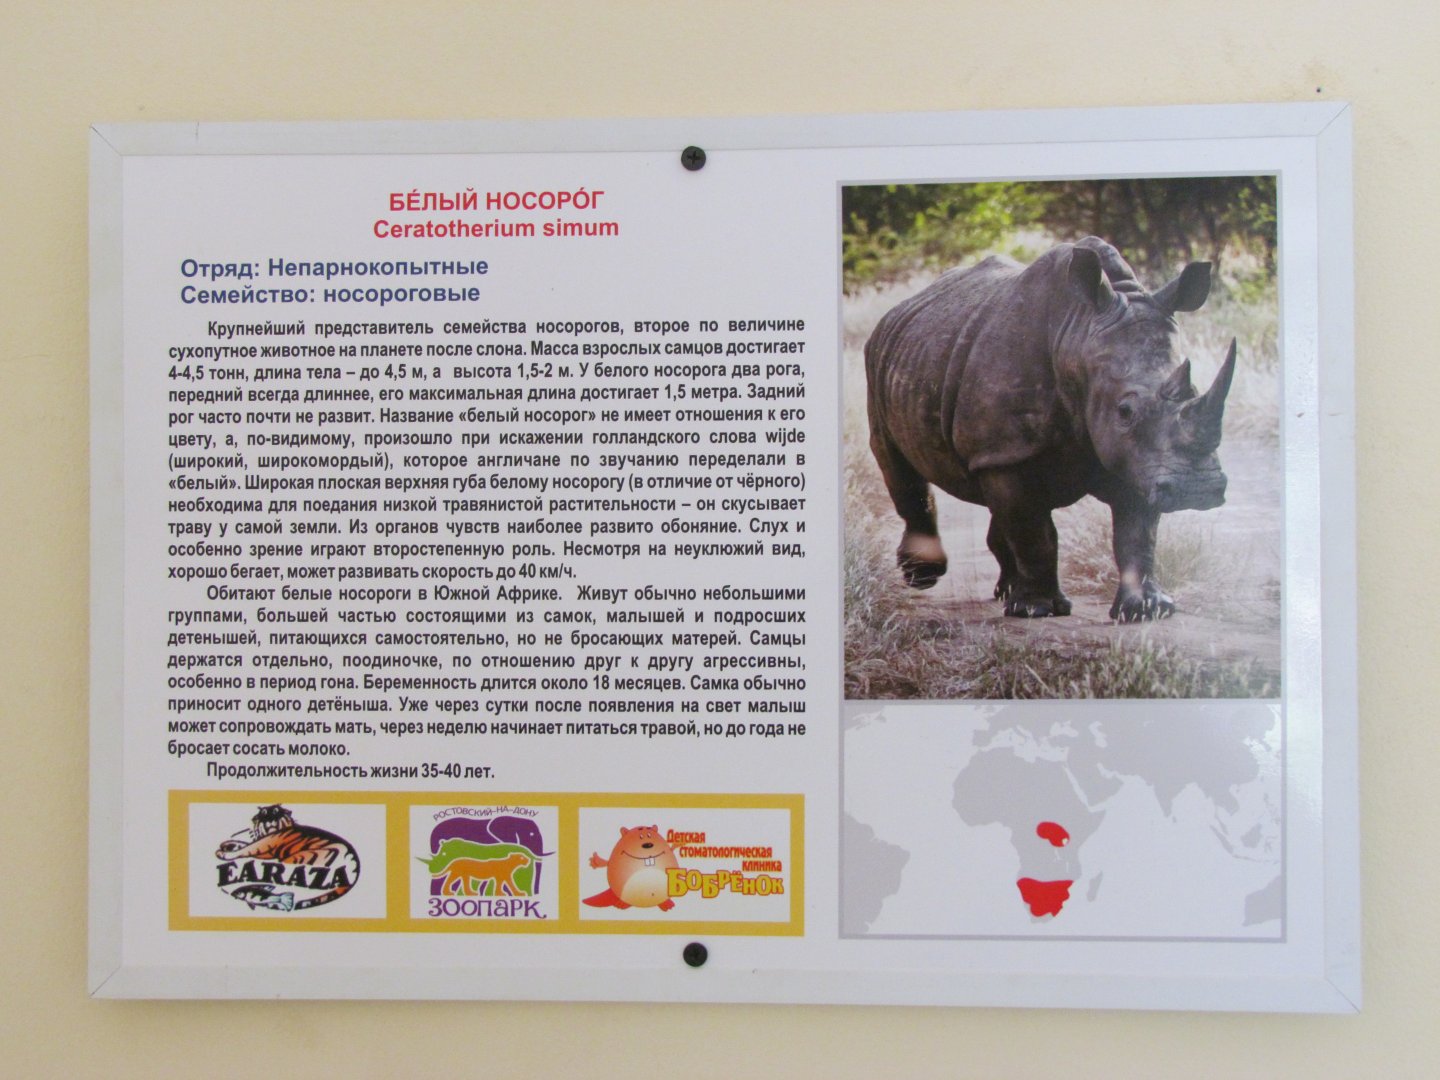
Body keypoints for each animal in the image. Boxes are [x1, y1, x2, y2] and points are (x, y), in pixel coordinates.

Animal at [864, 236, 1235, 621]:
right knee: (896, 462)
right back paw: (924, 578)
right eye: (1125, 411)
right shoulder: (1009, 451)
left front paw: (1147, 610)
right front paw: (1037, 610)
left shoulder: (1137, 458)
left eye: (1193, 391)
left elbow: (1138, 533)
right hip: (879, 362)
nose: (1198, 490)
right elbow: (1034, 531)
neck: (1076, 334)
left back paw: (1005, 591)